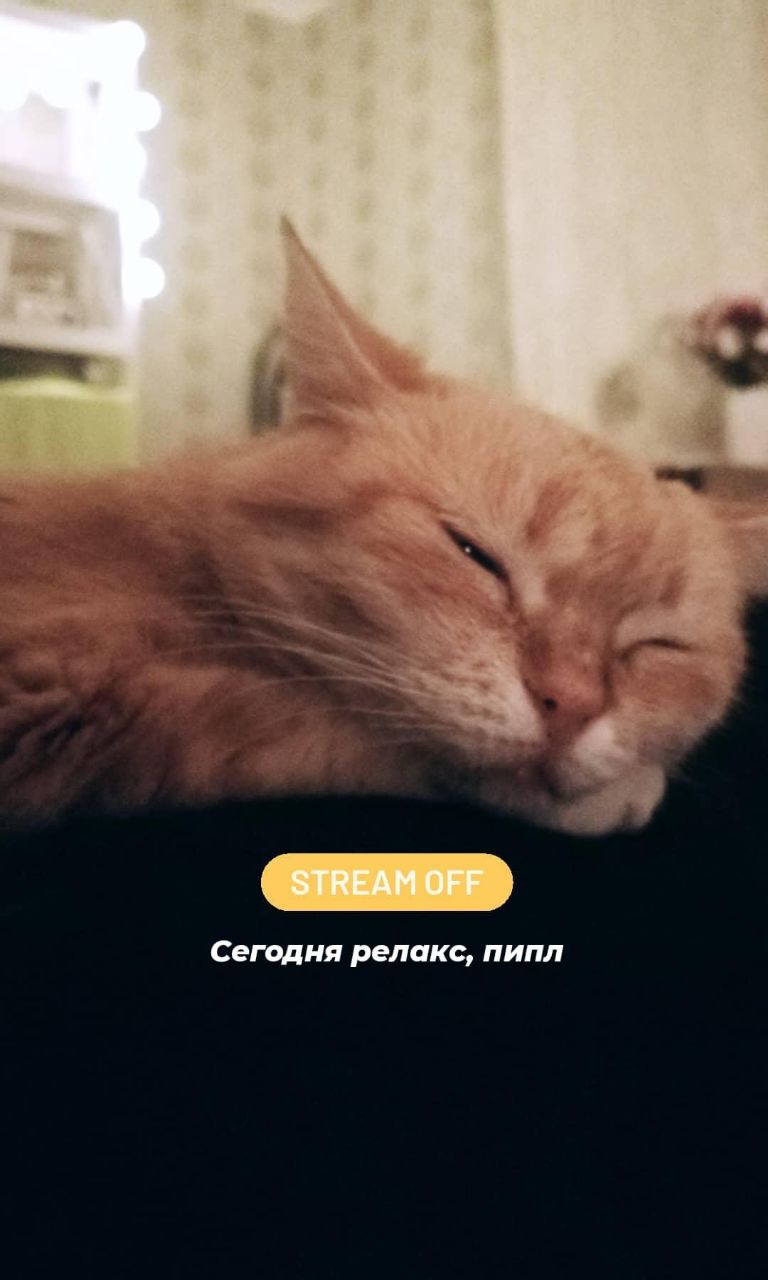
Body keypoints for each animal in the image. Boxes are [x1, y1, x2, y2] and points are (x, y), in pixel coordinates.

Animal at [1, 219, 767, 835]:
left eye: (656, 645)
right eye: (475, 555)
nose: (570, 707)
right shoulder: (63, 696)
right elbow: (337, 733)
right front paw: (618, 795)